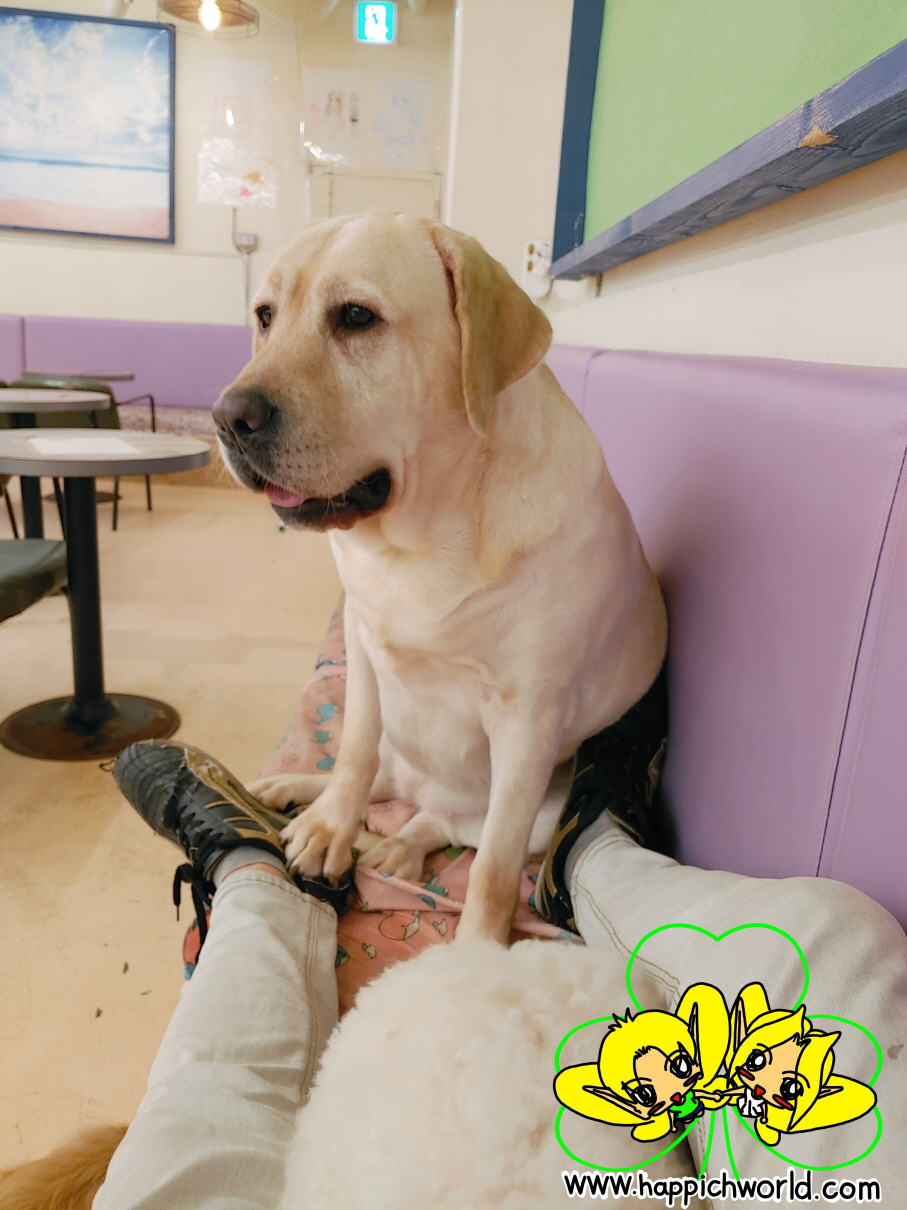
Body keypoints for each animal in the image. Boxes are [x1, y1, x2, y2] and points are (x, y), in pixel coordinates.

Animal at [216, 213, 667, 943]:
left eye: (355, 316)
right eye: (264, 316)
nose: (227, 417)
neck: (421, 537)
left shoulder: (527, 724)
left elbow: (490, 870)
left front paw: (478, 949)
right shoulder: (363, 649)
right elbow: (353, 755)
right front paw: (329, 826)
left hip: (548, 802)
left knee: (443, 825)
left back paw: (399, 846)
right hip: (398, 739)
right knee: (378, 780)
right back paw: (296, 793)